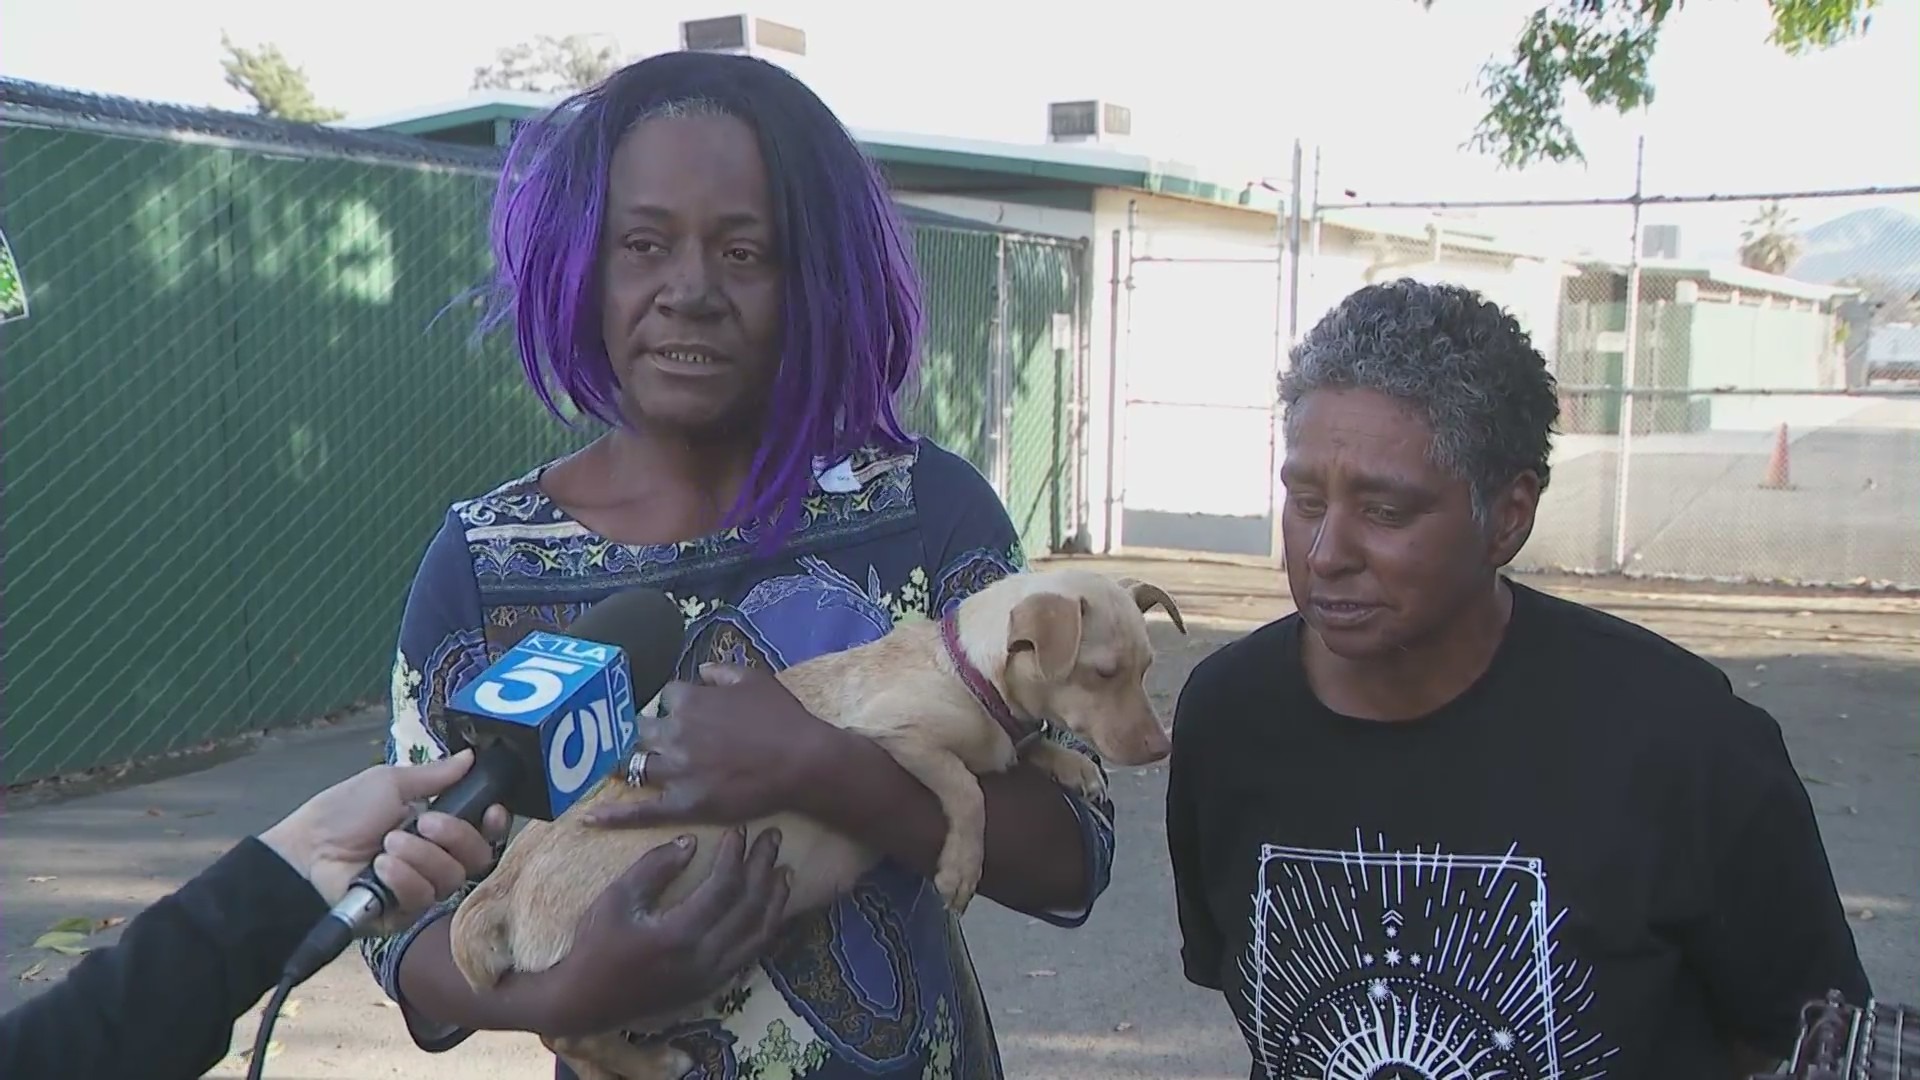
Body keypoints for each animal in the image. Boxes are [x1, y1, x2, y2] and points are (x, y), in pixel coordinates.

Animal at [449, 568, 1182, 1068]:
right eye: (1102, 673)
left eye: (1147, 667)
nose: (1160, 748)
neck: (967, 670)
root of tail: (505, 882)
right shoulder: (887, 738)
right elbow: (966, 788)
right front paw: (961, 864)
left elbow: (1024, 753)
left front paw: (1072, 765)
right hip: (600, 956)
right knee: (566, 1029)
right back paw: (652, 1061)